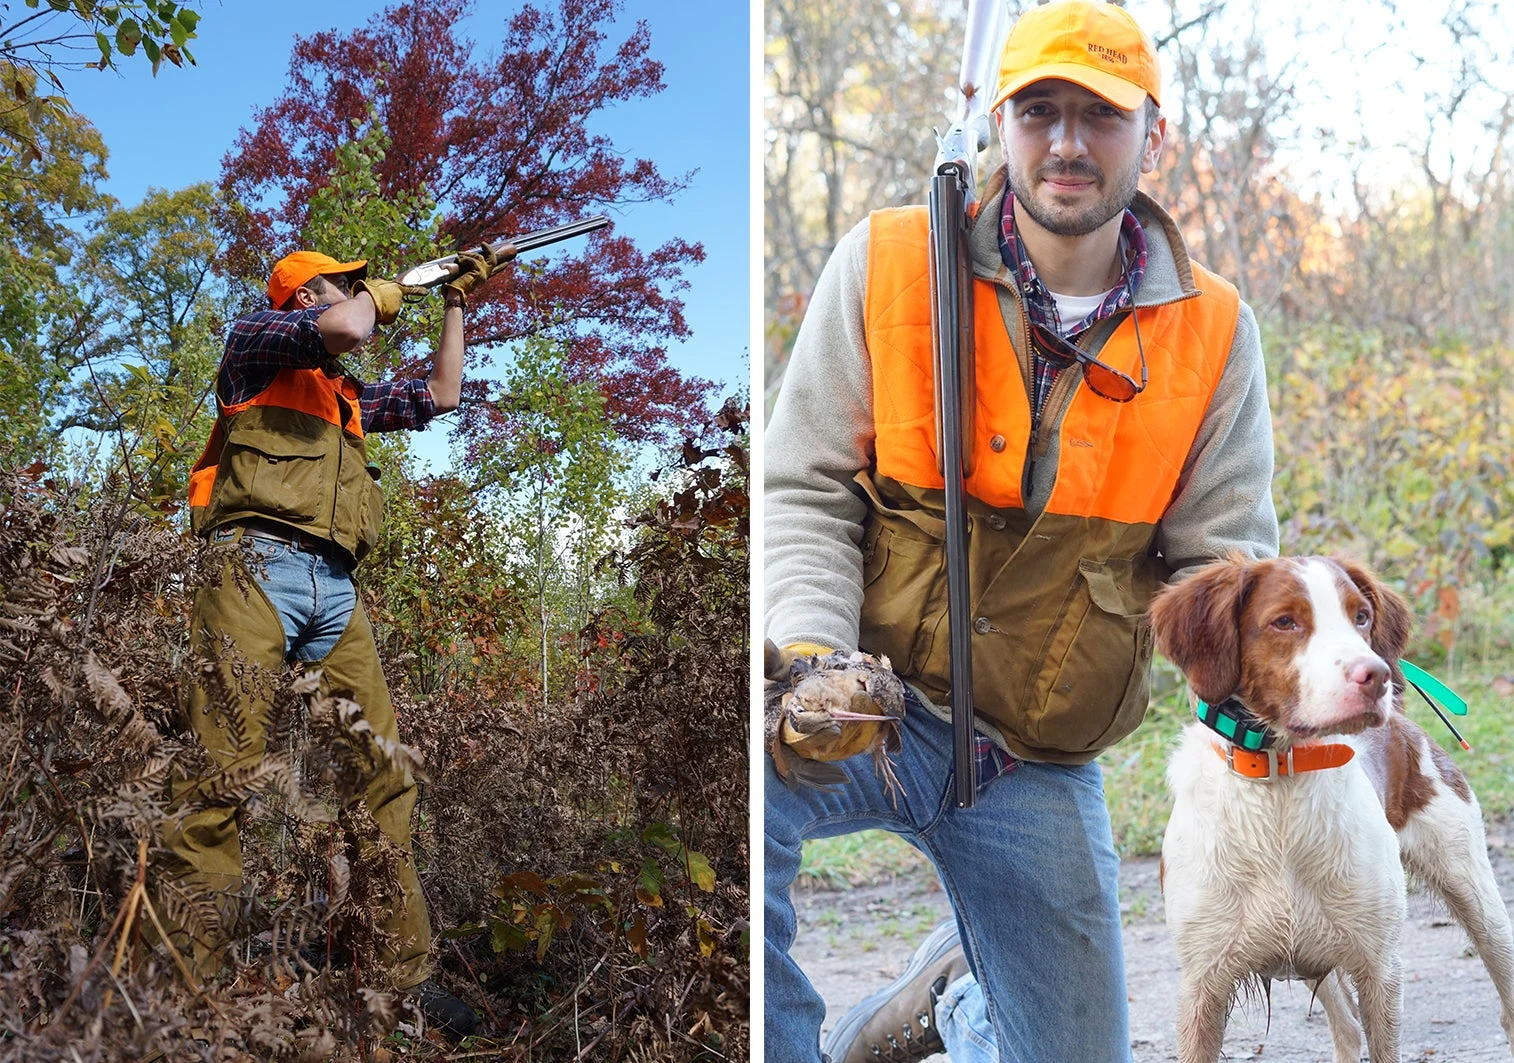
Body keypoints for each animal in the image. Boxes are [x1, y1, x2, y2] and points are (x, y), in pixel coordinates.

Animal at [1144, 563, 1514, 1059]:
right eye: (1285, 622)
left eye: (1361, 616)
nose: (1376, 674)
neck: (1279, 785)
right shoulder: (1203, 984)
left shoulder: (1380, 967)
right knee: (1347, 1028)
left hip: (1477, 898)